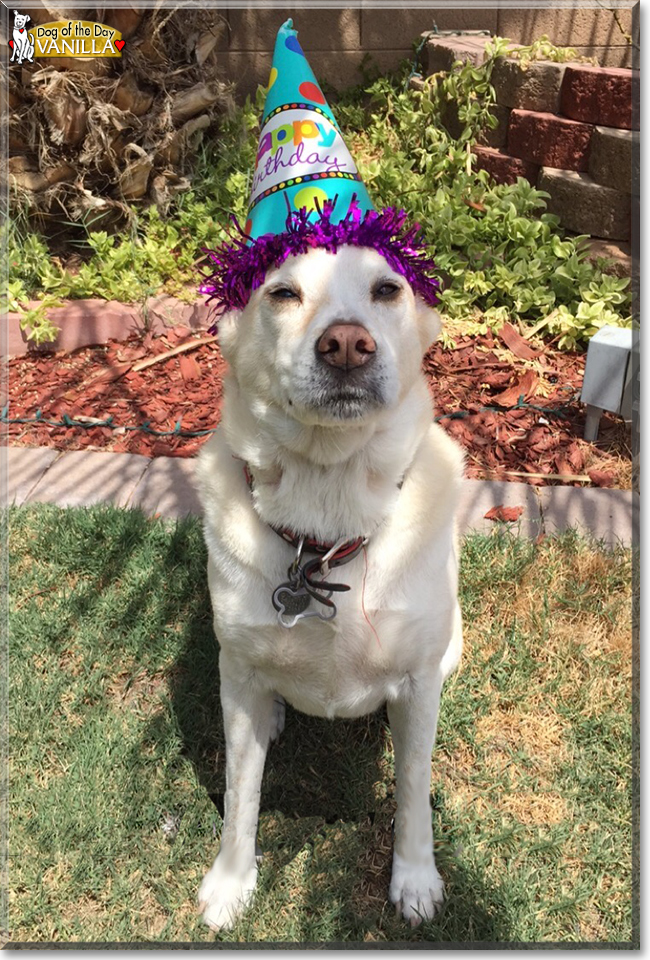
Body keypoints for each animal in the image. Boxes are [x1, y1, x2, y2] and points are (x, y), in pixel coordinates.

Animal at [195, 240, 464, 928]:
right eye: (283, 293)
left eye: (388, 289)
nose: (346, 345)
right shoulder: (237, 676)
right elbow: (240, 793)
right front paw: (231, 882)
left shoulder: (418, 681)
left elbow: (414, 790)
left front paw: (416, 880)